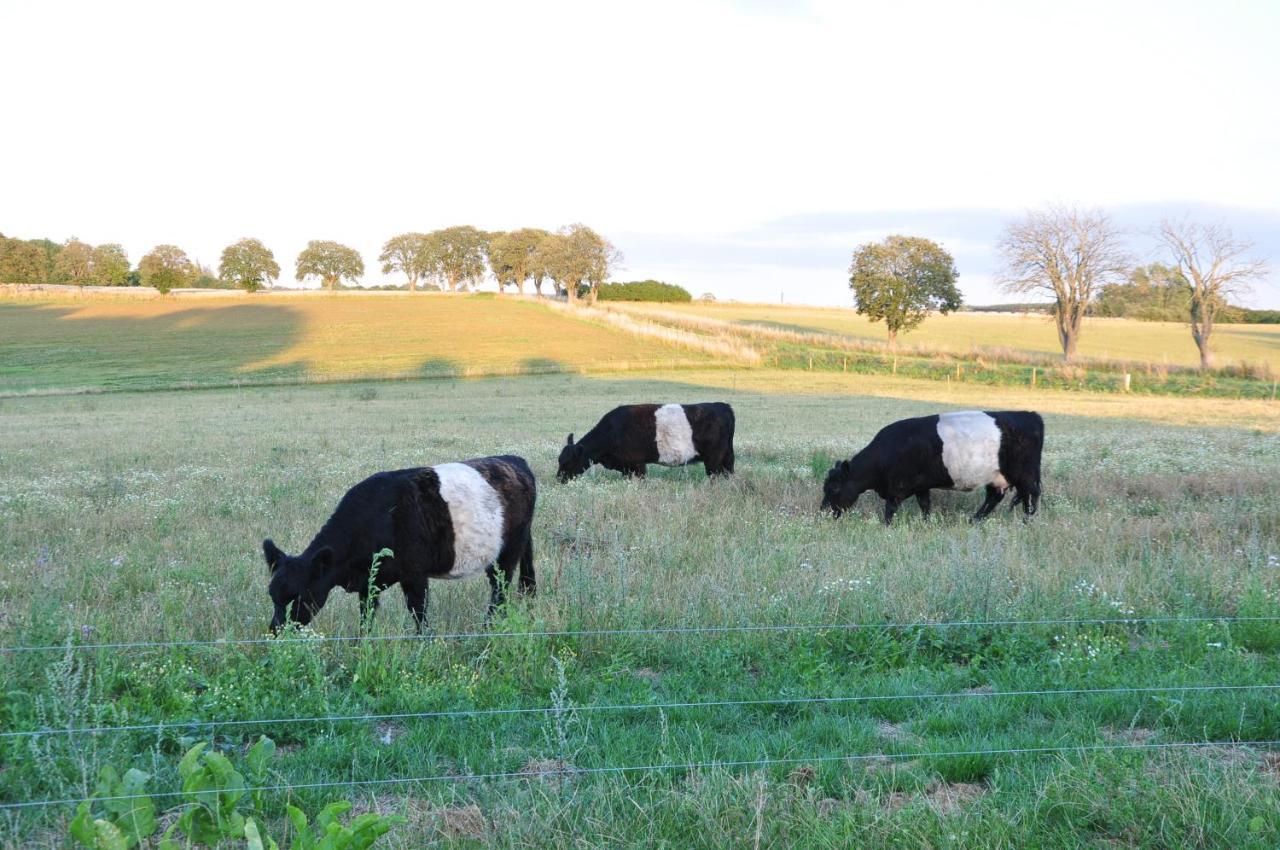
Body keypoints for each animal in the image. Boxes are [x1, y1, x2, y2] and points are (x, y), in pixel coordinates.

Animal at [264, 458, 535, 629]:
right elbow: (366, 617)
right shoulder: (368, 583)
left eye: (299, 596)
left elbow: (419, 614)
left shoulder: (415, 574)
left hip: (508, 552)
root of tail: (515, 460)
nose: (276, 630)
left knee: (500, 591)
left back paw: (488, 628)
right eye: (272, 596)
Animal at [555, 404, 737, 481]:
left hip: (714, 459)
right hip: (726, 457)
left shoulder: (637, 465)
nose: (559, 479)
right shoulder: (627, 467)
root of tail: (724, 406)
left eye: (569, 461)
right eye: (559, 460)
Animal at [819, 412, 1039, 524]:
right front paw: (927, 523)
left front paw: (885, 526)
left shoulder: (897, 488)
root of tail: (1030, 415)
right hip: (996, 477)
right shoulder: (921, 486)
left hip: (1026, 475)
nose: (823, 512)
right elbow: (925, 506)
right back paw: (974, 521)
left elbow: (890, 509)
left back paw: (1026, 522)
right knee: (994, 497)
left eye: (834, 488)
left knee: (1031, 498)